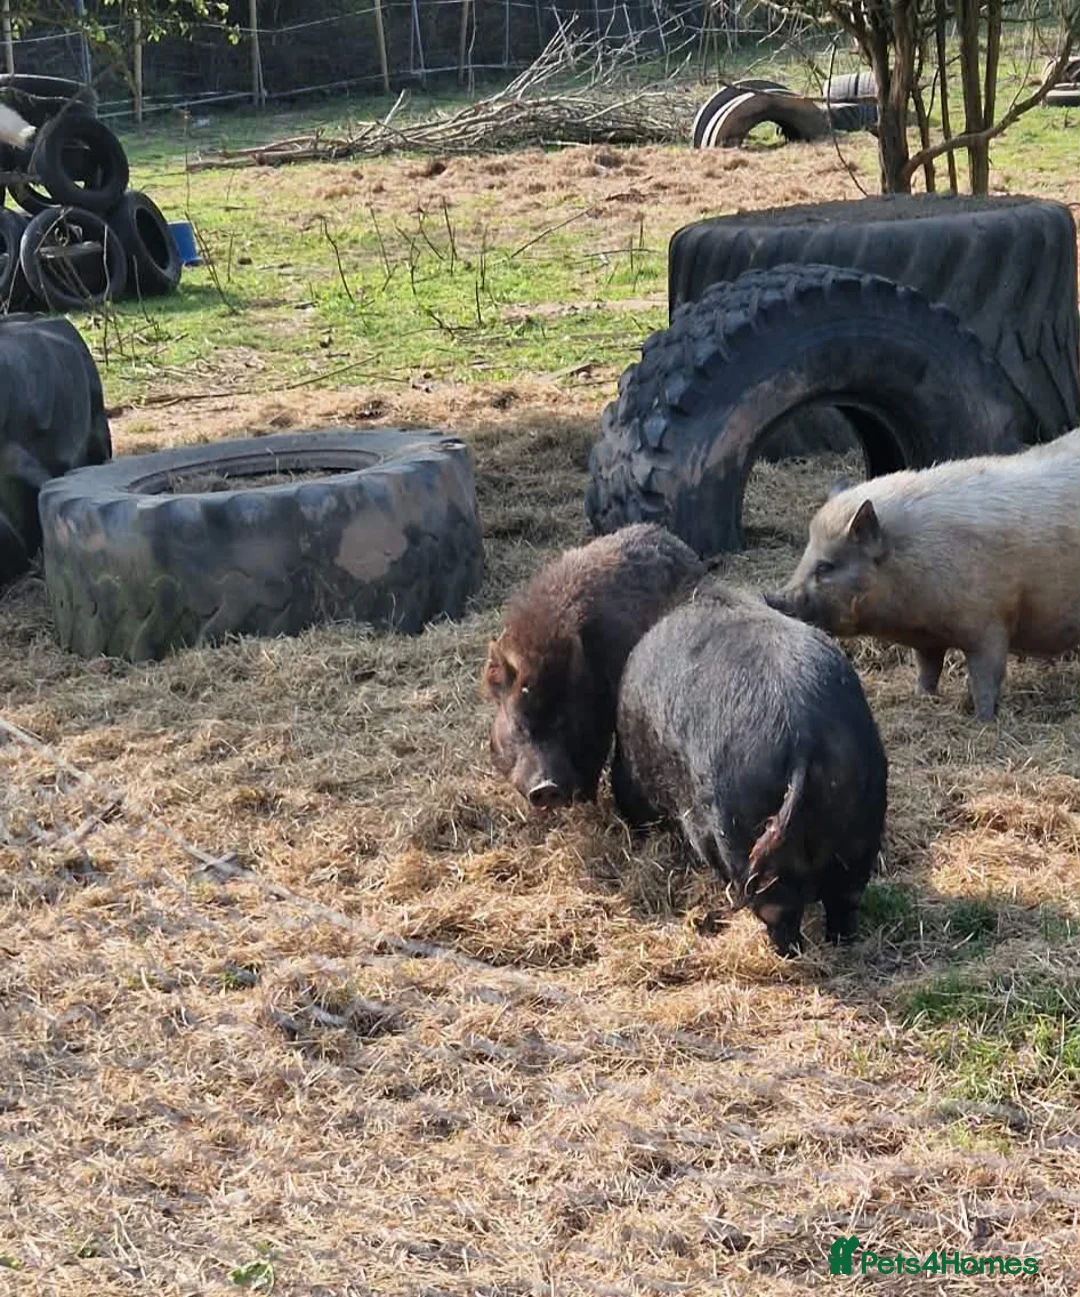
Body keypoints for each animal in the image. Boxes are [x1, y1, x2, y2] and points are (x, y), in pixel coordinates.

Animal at [612, 584, 888, 955]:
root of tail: (804, 736)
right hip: (863, 820)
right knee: (846, 896)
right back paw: (840, 943)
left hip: (741, 822)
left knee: (779, 907)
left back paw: (785, 952)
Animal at [766, 429, 1080, 721]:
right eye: (806, 555)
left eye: (826, 566)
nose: (774, 598)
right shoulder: (928, 639)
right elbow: (928, 667)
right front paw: (923, 697)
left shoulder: (990, 622)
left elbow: (984, 677)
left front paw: (983, 719)